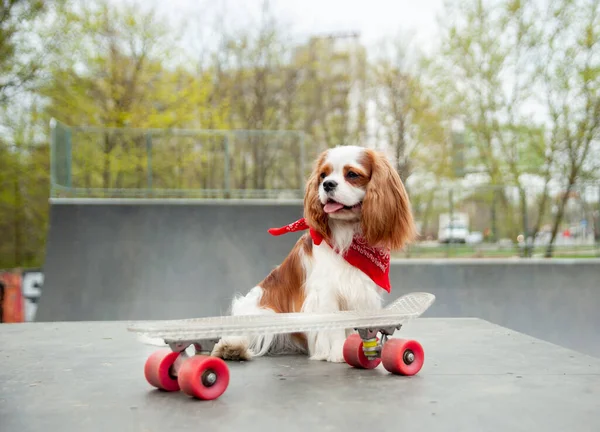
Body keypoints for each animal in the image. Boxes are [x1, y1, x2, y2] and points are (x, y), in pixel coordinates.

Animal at [212, 144, 418, 362]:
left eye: (352, 174)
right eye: (323, 175)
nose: (327, 184)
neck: (349, 234)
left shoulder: (361, 291)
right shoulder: (326, 292)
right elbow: (334, 324)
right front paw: (338, 352)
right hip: (263, 312)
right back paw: (232, 347)